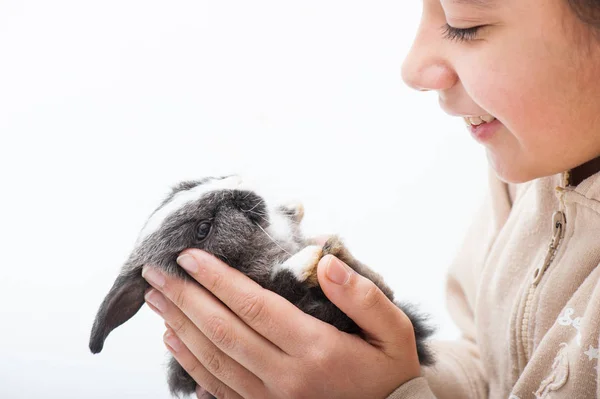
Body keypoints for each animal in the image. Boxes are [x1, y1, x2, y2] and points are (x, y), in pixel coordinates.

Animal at [89, 177, 434, 398]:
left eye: (186, 187)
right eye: (203, 229)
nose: (239, 191)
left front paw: (298, 213)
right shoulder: (277, 291)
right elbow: (283, 284)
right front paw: (310, 256)